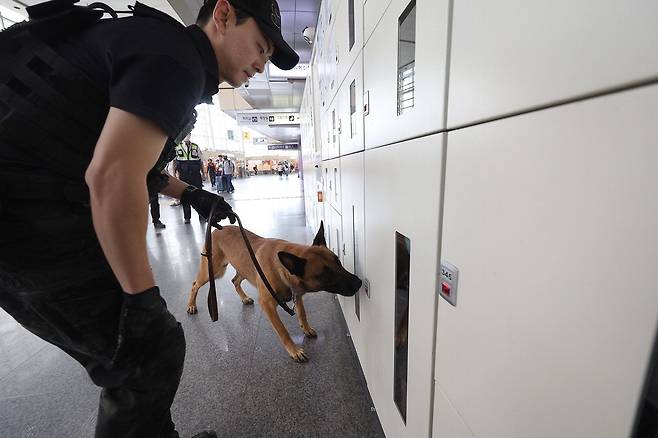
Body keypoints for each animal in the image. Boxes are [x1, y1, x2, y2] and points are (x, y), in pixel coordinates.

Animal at [184, 222, 362, 362]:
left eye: (338, 262)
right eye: (325, 275)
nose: (359, 283)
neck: (282, 268)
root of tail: (217, 229)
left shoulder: (297, 295)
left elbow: (302, 313)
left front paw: (306, 328)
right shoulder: (268, 306)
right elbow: (283, 331)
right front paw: (294, 350)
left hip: (243, 268)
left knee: (235, 281)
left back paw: (244, 298)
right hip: (212, 272)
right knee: (194, 284)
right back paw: (191, 305)